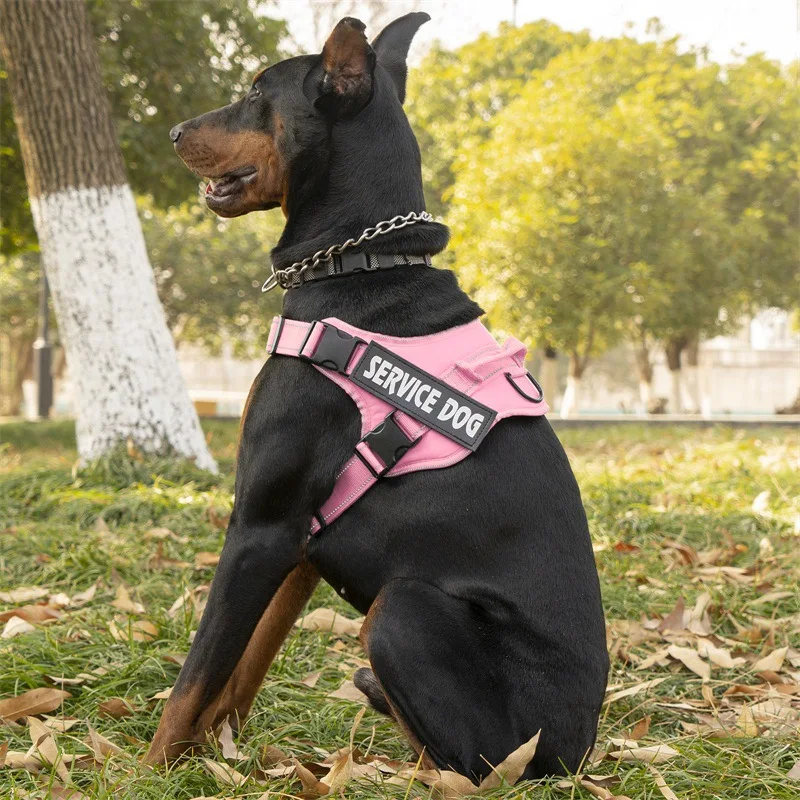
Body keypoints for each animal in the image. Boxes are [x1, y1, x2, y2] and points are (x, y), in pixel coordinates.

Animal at [147, 9, 608, 780]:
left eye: (255, 93)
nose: (177, 131)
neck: (362, 262)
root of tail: (572, 756)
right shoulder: (299, 539)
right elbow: (244, 667)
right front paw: (224, 752)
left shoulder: (260, 524)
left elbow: (195, 677)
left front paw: (147, 770)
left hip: (403, 610)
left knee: (465, 765)